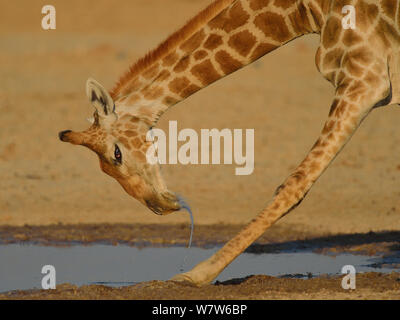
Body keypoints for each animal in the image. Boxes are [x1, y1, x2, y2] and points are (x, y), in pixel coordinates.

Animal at [58, 0, 400, 284]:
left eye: (116, 154)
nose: (160, 206)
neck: (305, 11)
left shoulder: (365, 80)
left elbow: (295, 183)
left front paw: (194, 276)